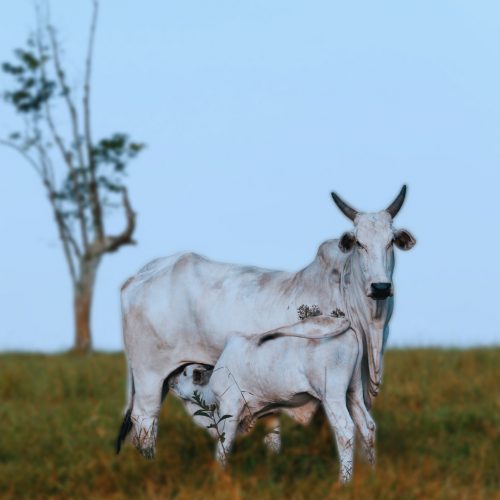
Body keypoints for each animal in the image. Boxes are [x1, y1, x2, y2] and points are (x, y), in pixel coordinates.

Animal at [116, 185, 414, 458]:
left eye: (390, 242)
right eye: (360, 243)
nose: (380, 287)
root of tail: (141, 274)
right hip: (149, 373)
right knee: (145, 420)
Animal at [169, 316, 376, 484]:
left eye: (185, 373)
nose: (171, 380)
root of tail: (341, 322)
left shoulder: (230, 410)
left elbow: (223, 446)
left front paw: (218, 477)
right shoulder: (269, 413)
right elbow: (273, 443)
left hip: (332, 396)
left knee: (345, 431)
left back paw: (344, 481)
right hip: (354, 392)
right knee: (368, 427)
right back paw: (369, 472)